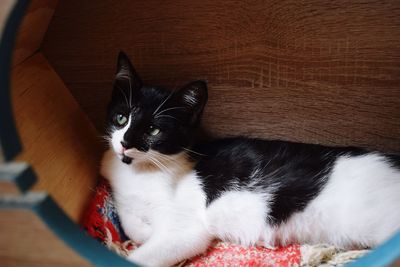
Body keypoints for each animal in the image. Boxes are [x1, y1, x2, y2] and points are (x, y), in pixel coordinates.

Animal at [101, 51, 400, 266]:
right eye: (121, 118)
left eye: (153, 130)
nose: (125, 143)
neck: (140, 170)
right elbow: (130, 222)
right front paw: (140, 227)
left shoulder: (185, 228)